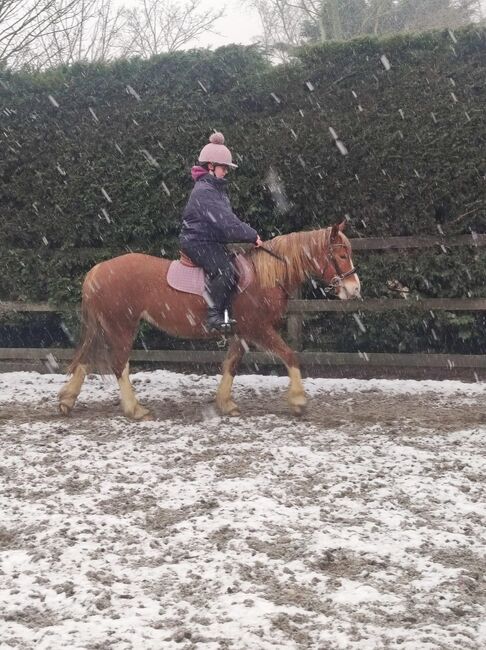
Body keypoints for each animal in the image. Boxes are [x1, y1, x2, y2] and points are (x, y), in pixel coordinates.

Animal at [58, 220, 360, 418]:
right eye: (341, 254)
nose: (354, 289)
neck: (265, 275)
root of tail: (97, 269)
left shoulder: (242, 332)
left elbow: (232, 364)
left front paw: (225, 403)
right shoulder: (258, 329)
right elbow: (289, 355)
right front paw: (298, 401)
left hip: (106, 326)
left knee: (86, 359)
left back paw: (67, 400)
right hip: (123, 326)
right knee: (119, 364)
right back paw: (135, 409)